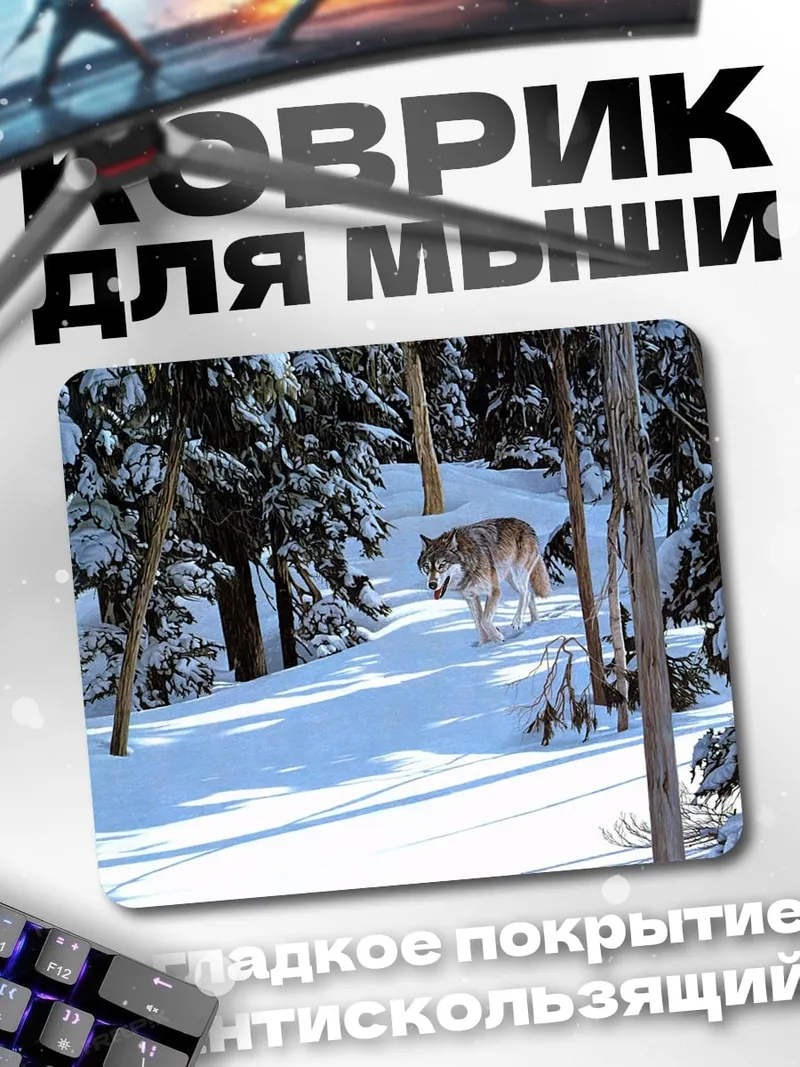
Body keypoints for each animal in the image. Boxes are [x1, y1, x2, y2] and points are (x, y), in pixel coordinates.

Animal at [417, 518, 552, 645]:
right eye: (426, 567)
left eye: (442, 565)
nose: (432, 585)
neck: (470, 564)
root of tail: (526, 525)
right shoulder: (471, 596)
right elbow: (478, 623)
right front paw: (484, 645)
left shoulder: (494, 591)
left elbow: (484, 621)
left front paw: (497, 638)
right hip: (511, 580)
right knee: (530, 595)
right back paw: (535, 622)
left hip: (517, 574)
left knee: (526, 593)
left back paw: (517, 621)